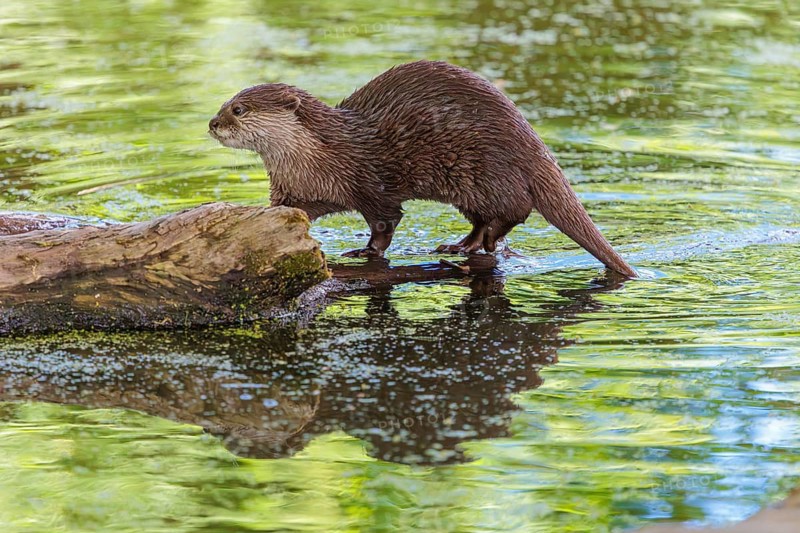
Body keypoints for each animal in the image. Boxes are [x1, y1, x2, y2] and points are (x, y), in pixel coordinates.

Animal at [209, 60, 636, 277]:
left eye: (238, 109)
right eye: (225, 103)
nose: (213, 124)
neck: (320, 156)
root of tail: (533, 145)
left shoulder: (369, 181)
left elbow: (385, 223)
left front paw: (364, 252)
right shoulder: (296, 189)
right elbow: (288, 211)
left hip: (483, 170)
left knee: (514, 210)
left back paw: (484, 242)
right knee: (483, 218)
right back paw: (459, 245)